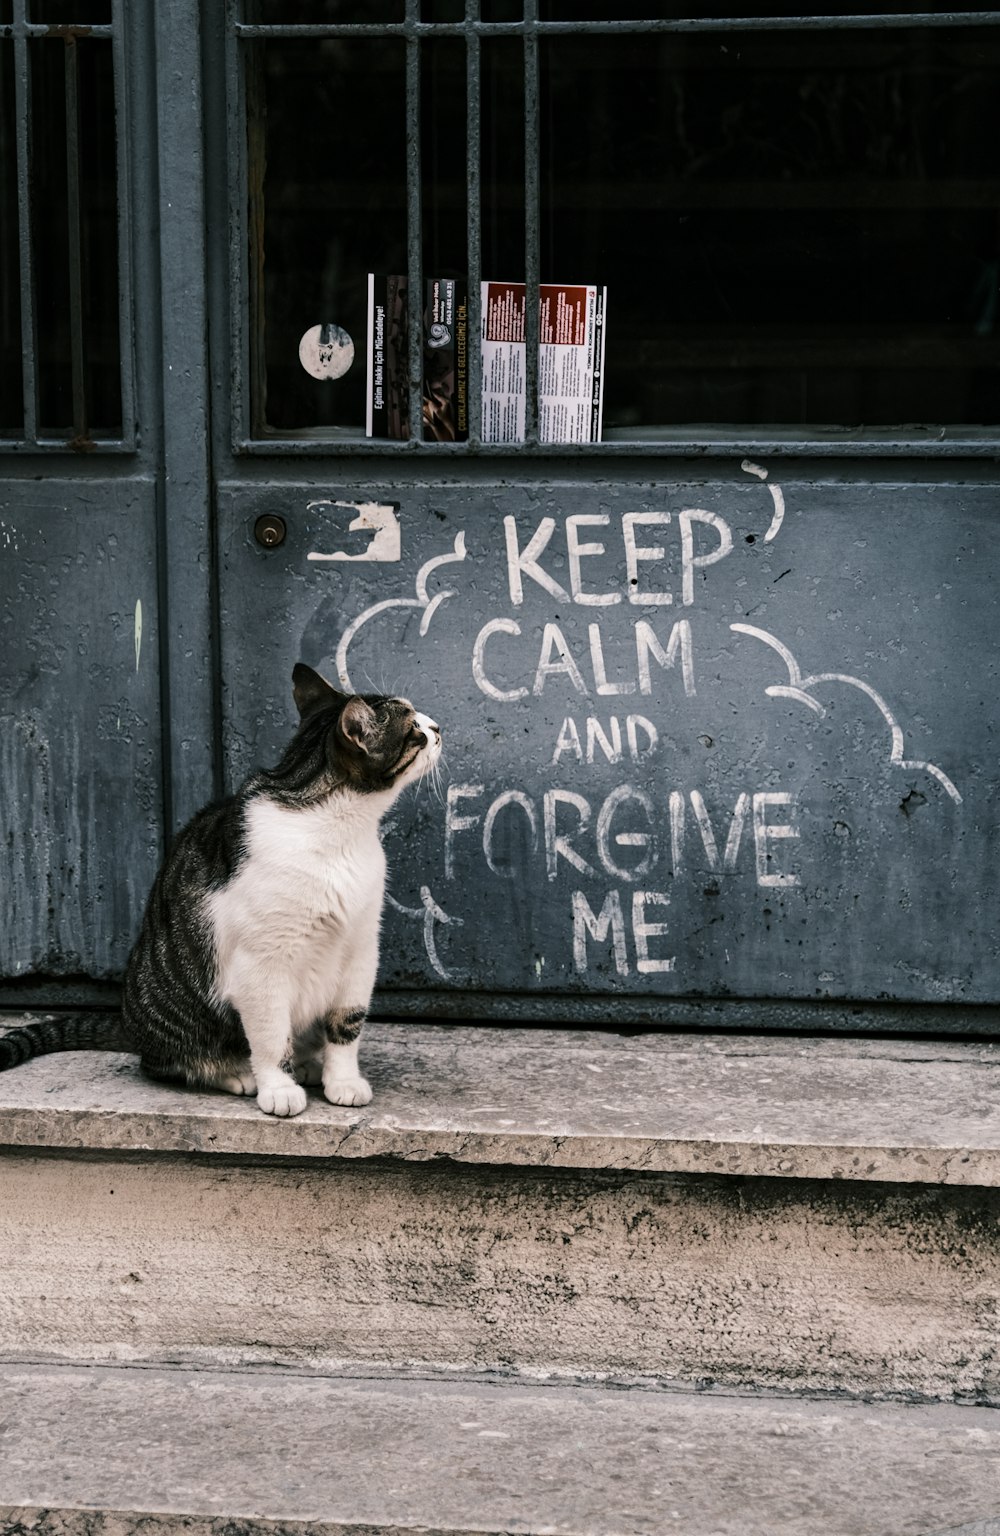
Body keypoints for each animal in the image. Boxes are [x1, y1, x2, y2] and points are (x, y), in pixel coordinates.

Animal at [0, 660, 442, 1118]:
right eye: (413, 728)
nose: (438, 727)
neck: (338, 832)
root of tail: (127, 1021)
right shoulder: (262, 964)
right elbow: (271, 1037)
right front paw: (278, 1088)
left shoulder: (360, 949)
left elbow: (347, 1025)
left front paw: (343, 1081)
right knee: (164, 1062)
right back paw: (236, 1074)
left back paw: (306, 1064)